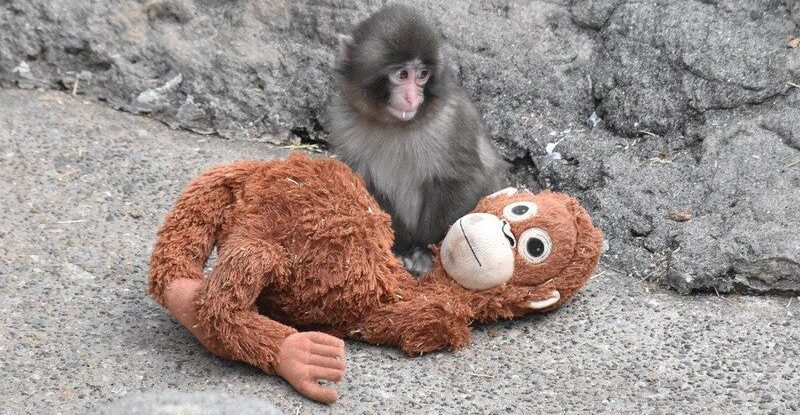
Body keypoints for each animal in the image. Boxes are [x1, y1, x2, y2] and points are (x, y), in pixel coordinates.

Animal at [327, 5, 509, 275]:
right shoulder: (343, 121)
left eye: (423, 74)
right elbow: (364, 185)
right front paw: (398, 248)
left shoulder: (451, 119)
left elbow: (463, 179)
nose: (412, 98)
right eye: (402, 74)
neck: (395, 124)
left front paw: (422, 251)